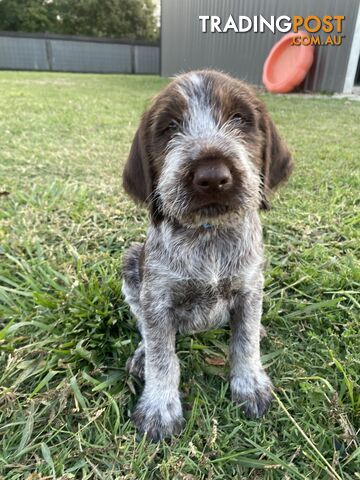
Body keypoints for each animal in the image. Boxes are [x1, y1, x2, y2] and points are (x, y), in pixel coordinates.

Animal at [121, 69, 292, 440]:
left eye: (240, 119)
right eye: (170, 126)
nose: (212, 177)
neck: (208, 234)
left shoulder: (249, 287)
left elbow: (244, 341)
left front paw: (249, 383)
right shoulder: (156, 299)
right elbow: (162, 357)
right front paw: (159, 407)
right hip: (130, 263)